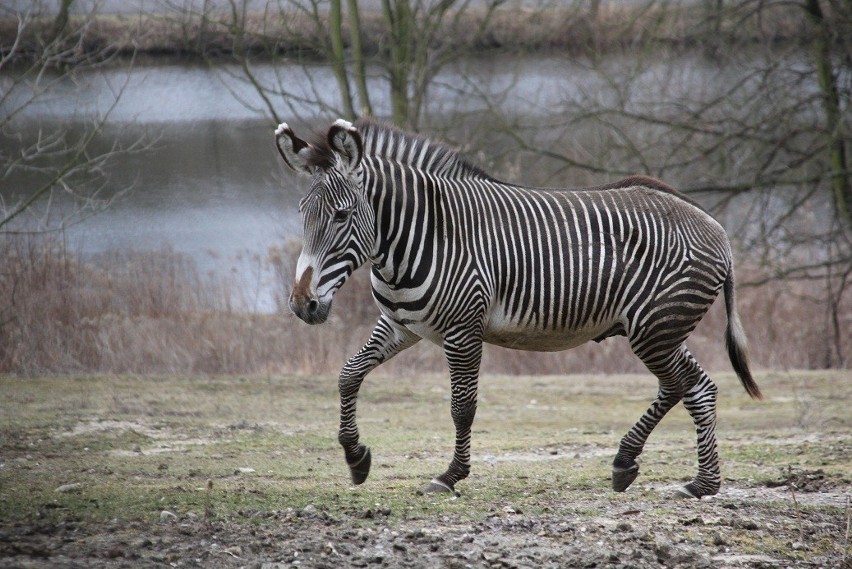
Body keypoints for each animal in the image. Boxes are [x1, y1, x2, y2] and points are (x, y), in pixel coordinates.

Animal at [276, 118, 764, 496]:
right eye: (302, 212)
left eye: (341, 216)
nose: (303, 304)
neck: (421, 237)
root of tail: (714, 225)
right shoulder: (402, 325)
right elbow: (348, 375)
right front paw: (356, 457)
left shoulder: (463, 330)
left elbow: (462, 406)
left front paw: (450, 476)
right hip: (657, 329)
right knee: (691, 386)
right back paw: (664, 473)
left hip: (655, 327)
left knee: (685, 386)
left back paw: (680, 476)